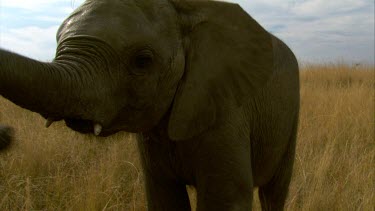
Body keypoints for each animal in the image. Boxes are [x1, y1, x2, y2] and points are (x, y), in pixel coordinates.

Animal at [0, 0, 300, 210]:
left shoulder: (226, 115)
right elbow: (164, 198)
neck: (185, 12)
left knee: (274, 194)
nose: (8, 133)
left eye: (142, 61)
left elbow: (225, 200)